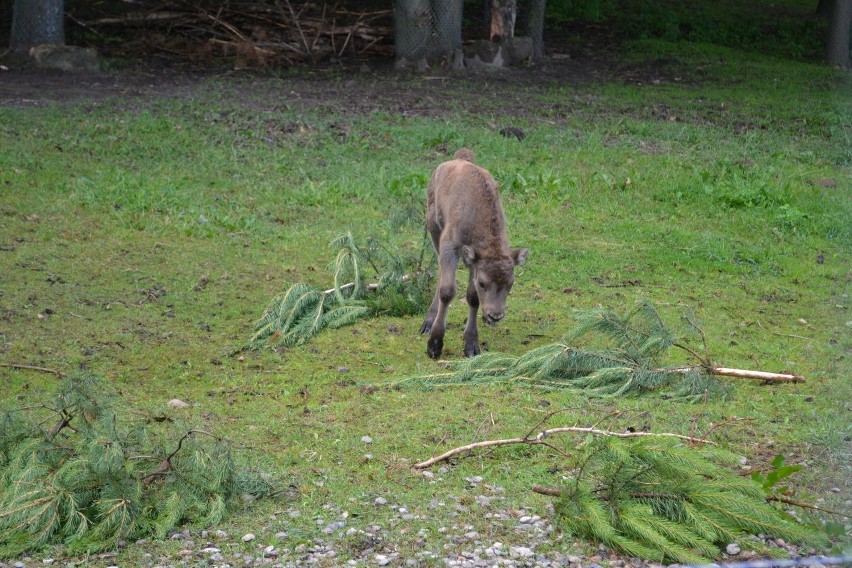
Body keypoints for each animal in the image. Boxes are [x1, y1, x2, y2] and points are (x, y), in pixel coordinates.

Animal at [420, 148, 524, 360]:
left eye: (510, 283)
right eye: (483, 283)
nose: (496, 315)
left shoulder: (474, 261)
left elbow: (472, 297)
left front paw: (471, 345)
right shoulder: (450, 247)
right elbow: (447, 291)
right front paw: (434, 344)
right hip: (433, 228)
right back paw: (428, 322)